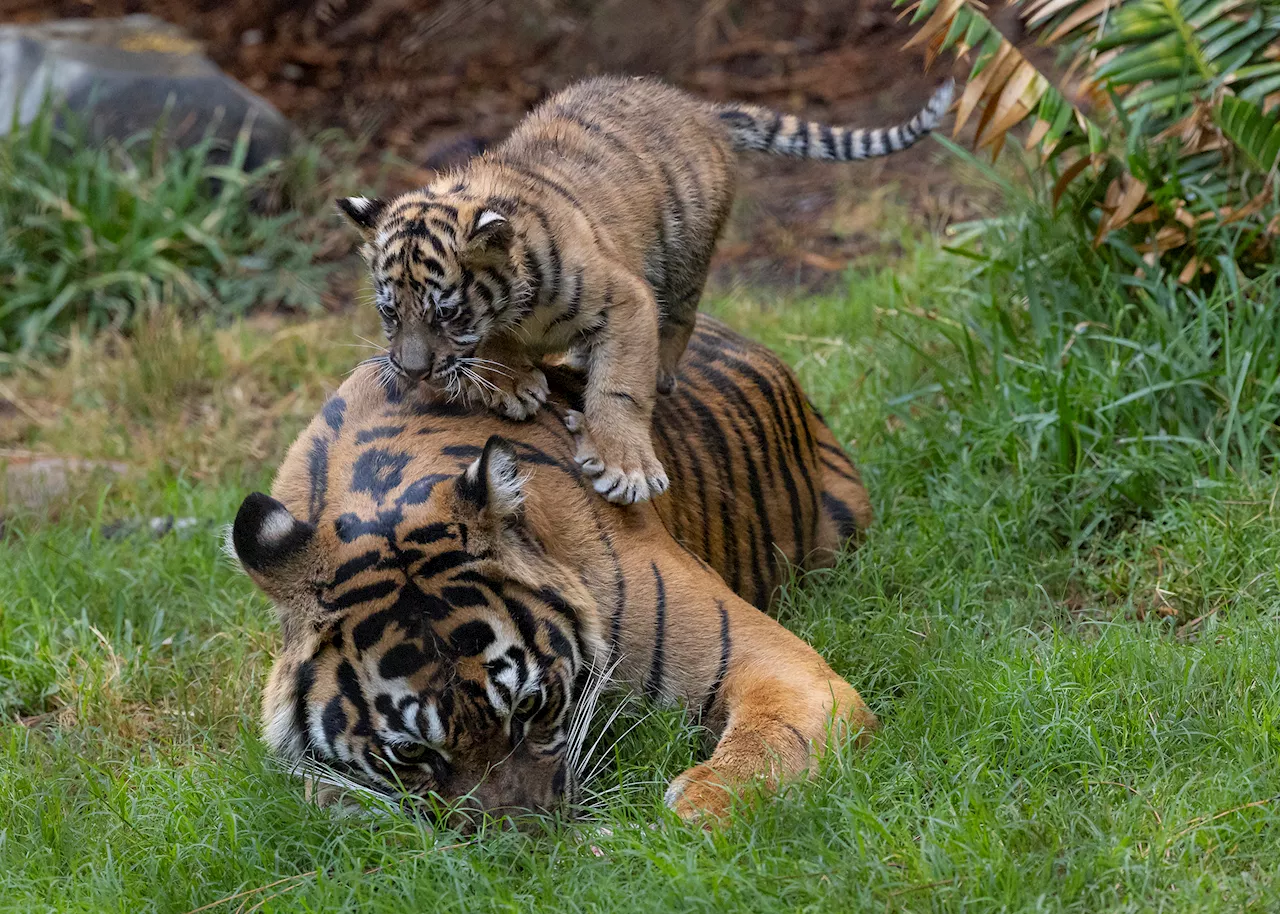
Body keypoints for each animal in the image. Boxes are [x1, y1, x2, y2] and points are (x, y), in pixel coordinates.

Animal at [230, 311, 875, 819]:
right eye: (410, 753)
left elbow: (771, 736)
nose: (529, 847)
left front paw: (699, 806)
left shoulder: (780, 667)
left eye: (530, 706)